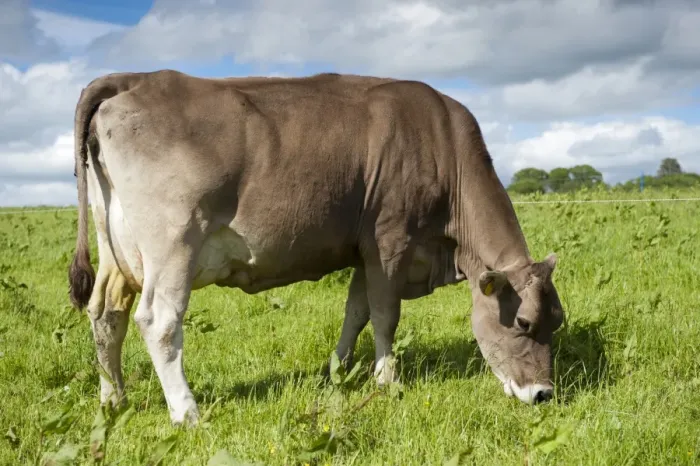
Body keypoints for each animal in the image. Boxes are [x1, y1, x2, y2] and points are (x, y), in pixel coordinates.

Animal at [67, 70, 564, 426]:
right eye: (522, 322)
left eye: (557, 320)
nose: (543, 394)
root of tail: (135, 78)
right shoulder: (390, 240)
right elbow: (385, 315)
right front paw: (387, 381)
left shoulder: (364, 250)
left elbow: (356, 311)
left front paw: (337, 371)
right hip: (172, 243)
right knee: (159, 321)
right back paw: (186, 412)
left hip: (115, 247)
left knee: (106, 313)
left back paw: (113, 399)